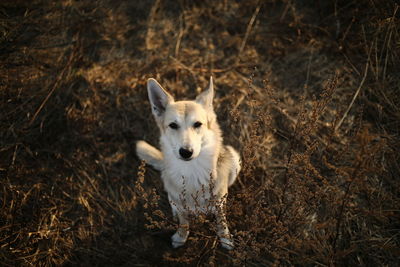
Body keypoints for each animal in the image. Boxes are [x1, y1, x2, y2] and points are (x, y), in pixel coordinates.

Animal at [136, 76, 239, 250]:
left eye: (197, 124)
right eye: (173, 125)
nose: (185, 152)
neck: (192, 171)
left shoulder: (219, 202)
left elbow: (221, 220)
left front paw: (225, 237)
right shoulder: (181, 203)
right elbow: (184, 221)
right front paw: (181, 236)